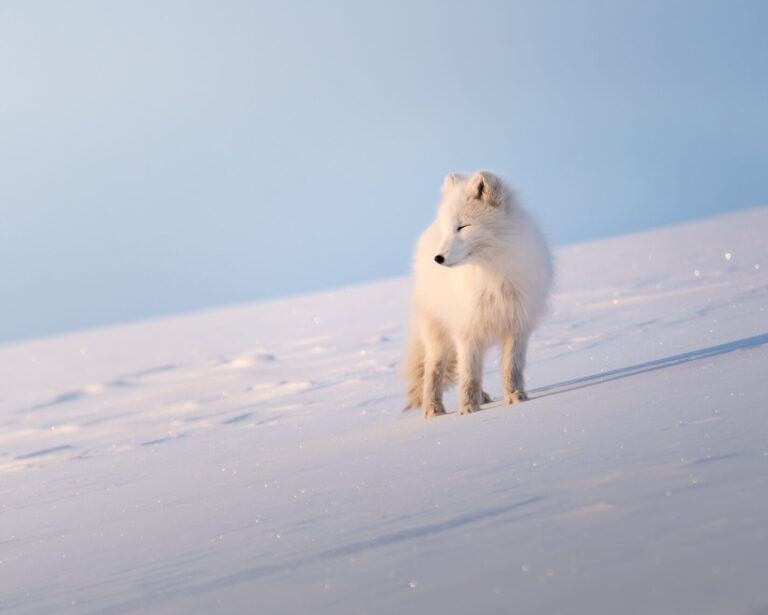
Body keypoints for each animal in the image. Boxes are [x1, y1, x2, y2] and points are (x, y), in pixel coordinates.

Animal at [404, 170, 553, 418]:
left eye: (463, 227)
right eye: (448, 229)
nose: (438, 258)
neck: (490, 274)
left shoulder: (517, 324)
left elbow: (511, 368)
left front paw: (515, 396)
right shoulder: (467, 329)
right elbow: (468, 375)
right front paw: (466, 408)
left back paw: (482, 397)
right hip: (438, 336)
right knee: (433, 370)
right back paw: (433, 408)